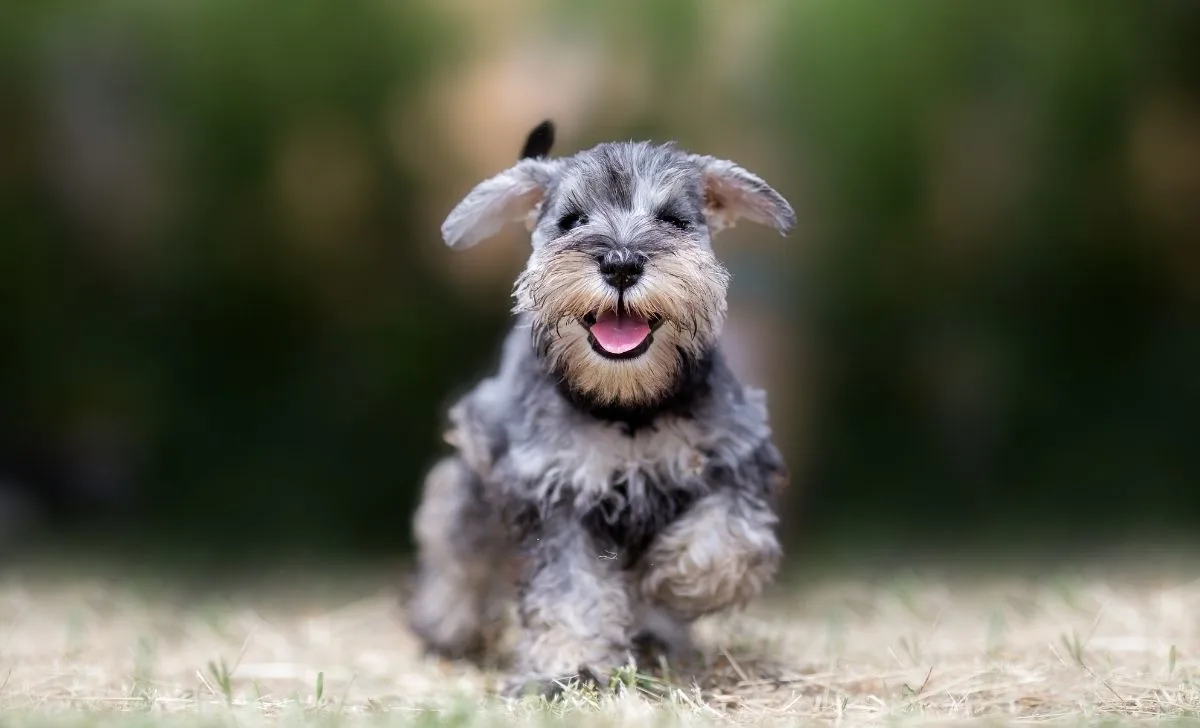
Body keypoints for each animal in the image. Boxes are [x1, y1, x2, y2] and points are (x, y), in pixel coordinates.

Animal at [412, 119, 796, 695]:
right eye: (572, 220)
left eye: (673, 220)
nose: (620, 263)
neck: (627, 405)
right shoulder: (557, 493)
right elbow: (570, 590)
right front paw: (569, 665)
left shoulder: (734, 457)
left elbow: (728, 540)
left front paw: (673, 582)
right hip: (474, 481)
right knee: (456, 543)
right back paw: (444, 624)